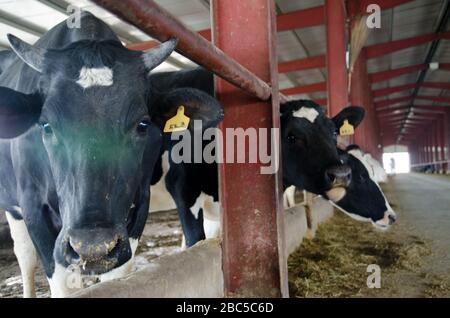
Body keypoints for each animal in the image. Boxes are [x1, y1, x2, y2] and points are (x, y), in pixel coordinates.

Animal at [0, 11, 224, 296]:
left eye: (143, 124)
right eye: (46, 126)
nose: (92, 245)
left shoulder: (141, 204)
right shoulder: (33, 207)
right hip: (14, 207)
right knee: (24, 255)